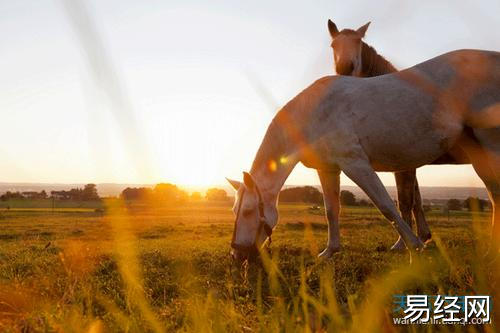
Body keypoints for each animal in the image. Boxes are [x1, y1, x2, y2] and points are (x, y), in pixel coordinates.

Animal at [229, 50, 498, 262]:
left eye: (249, 211)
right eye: (235, 210)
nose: (237, 254)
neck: (314, 114)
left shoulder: (355, 164)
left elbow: (386, 206)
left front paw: (414, 247)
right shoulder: (328, 168)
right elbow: (331, 210)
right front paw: (329, 252)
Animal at [326, 19, 432, 248]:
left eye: (358, 42)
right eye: (333, 45)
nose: (345, 68)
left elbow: (406, 200)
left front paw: (403, 243)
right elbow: (415, 197)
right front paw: (422, 236)